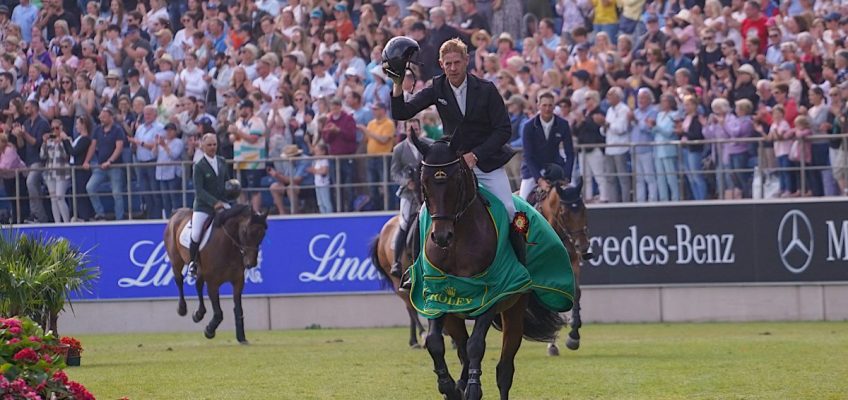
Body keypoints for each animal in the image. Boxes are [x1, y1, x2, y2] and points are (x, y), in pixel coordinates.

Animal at [162, 205, 268, 346]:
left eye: (263, 234)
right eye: (245, 231)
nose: (251, 263)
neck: (227, 246)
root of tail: (178, 212)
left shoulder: (238, 281)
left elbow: (238, 309)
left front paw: (241, 337)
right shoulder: (213, 283)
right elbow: (218, 313)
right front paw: (209, 331)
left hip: (200, 270)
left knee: (198, 285)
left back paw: (198, 314)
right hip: (176, 260)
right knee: (179, 280)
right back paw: (182, 309)